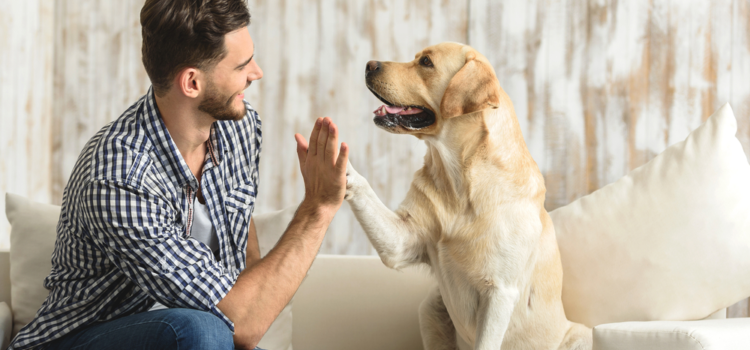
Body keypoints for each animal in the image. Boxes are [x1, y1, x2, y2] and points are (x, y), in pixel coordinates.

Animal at [346, 42, 592, 348]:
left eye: (426, 62)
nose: (369, 65)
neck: (459, 181)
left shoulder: (500, 292)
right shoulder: (401, 241)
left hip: (581, 334)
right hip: (431, 306)